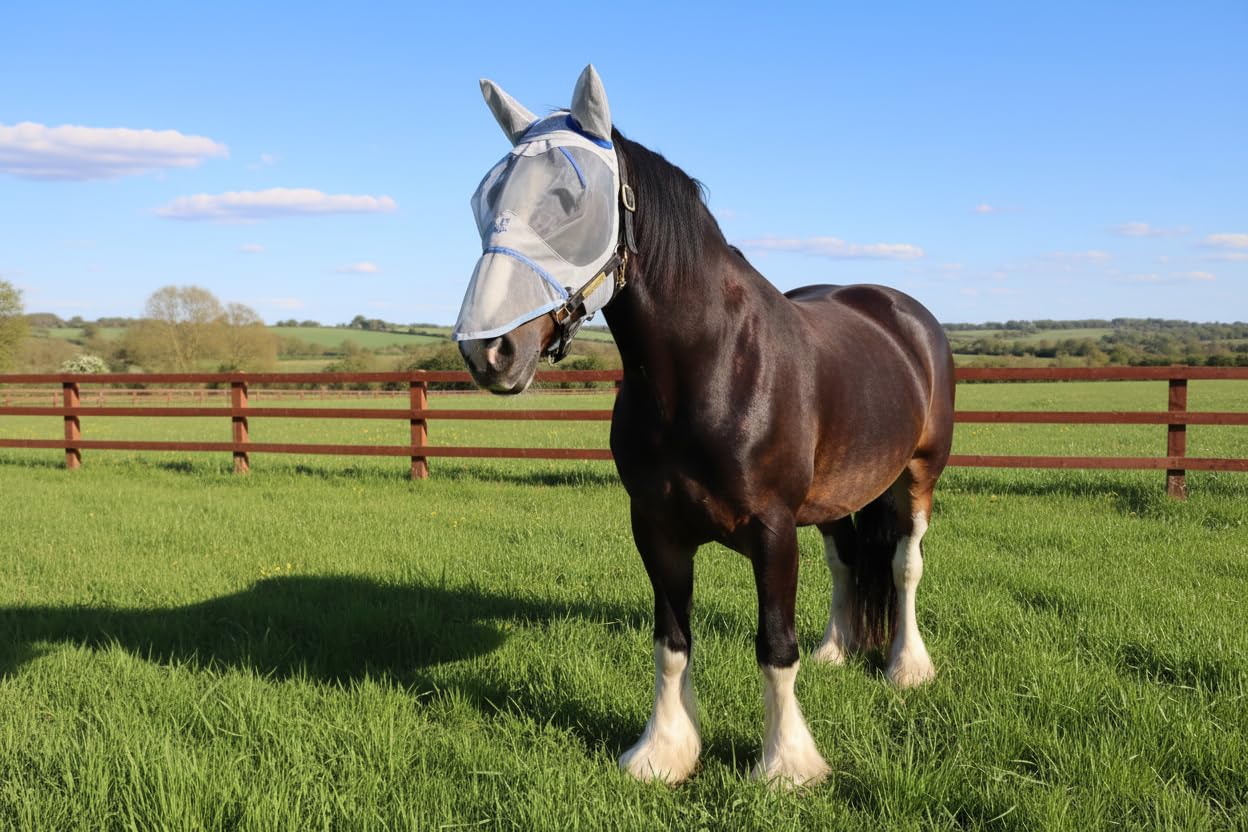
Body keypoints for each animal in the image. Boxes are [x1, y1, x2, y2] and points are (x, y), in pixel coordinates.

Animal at [454, 66, 955, 787]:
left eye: (572, 198)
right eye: (484, 198)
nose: (487, 351)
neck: (710, 368)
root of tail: (900, 311)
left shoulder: (773, 530)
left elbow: (775, 646)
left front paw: (787, 766)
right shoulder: (656, 529)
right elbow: (671, 642)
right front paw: (663, 752)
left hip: (919, 475)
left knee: (903, 564)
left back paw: (907, 667)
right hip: (834, 496)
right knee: (846, 561)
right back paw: (836, 650)